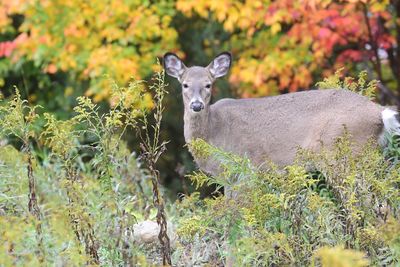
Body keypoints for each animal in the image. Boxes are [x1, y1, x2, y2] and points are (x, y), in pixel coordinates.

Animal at [162, 52, 400, 178]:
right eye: (185, 84)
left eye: (208, 84)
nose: (196, 105)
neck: (213, 132)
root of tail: (379, 111)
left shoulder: (244, 169)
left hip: (340, 151)